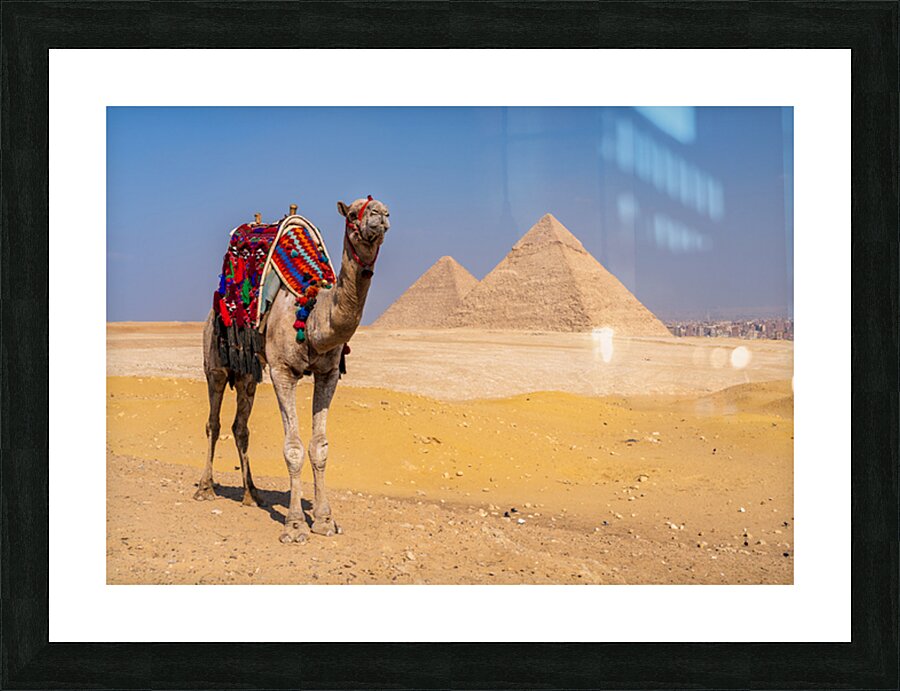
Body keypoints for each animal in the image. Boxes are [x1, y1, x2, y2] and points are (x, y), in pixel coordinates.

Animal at [194, 197, 390, 544]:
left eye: (386, 211)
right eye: (354, 213)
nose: (379, 215)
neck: (312, 316)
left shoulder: (328, 373)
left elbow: (319, 447)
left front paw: (325, 520)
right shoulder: (282, 371)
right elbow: (294, 448)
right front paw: (296, 525)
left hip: (248, 373)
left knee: (240, 427)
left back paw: (252, 494)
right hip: (215, 360)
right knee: (213, 422)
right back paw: (206, 488)